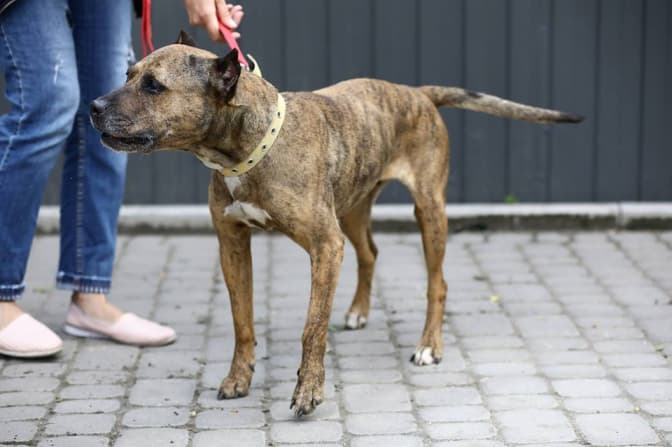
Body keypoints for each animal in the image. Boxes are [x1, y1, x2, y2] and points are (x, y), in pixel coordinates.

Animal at [90, 31, 582, 416]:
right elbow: (242, 321)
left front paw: (308, 391)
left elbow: (312, 328)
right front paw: (238, 378)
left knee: (437, 282)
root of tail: (417, 92)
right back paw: (359, 311)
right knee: (371, 252)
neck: (249, 149)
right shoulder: (233, 245)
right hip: (352, 210)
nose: (93, 105)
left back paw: (429, 345)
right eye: (129, 73)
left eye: (154, 86)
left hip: (427, 210)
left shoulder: (325, 246)